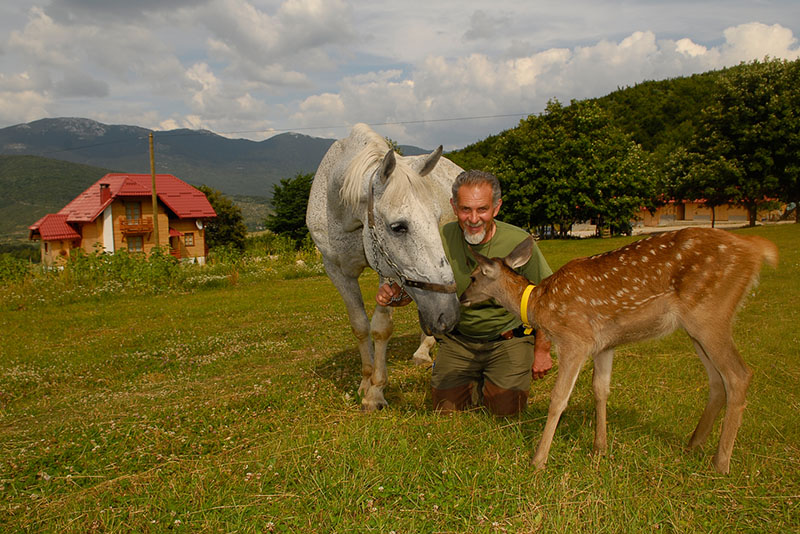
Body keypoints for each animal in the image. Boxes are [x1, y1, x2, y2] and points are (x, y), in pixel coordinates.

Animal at [310, 123, 466, 412]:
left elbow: (381, 328)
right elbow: (360, 325)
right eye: (398, 226)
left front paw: (376, 392)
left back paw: (424, 351)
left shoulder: (389, 272)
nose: (449, 316)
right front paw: (365, 381)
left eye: (436, 218)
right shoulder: (337, 271)